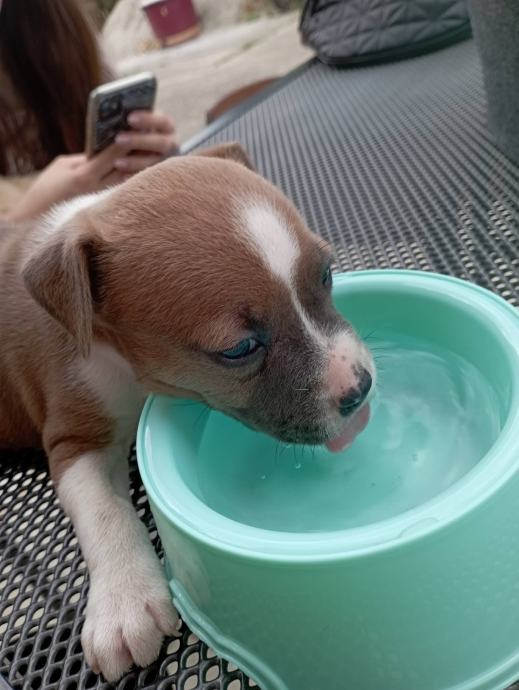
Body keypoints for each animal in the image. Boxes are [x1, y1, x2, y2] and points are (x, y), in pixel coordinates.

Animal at [0, 143, 374, 681]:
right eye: (239, 349)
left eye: (325, 273)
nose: (360, 389)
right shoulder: (76, 439)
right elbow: (104, 509)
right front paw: (125, 601)